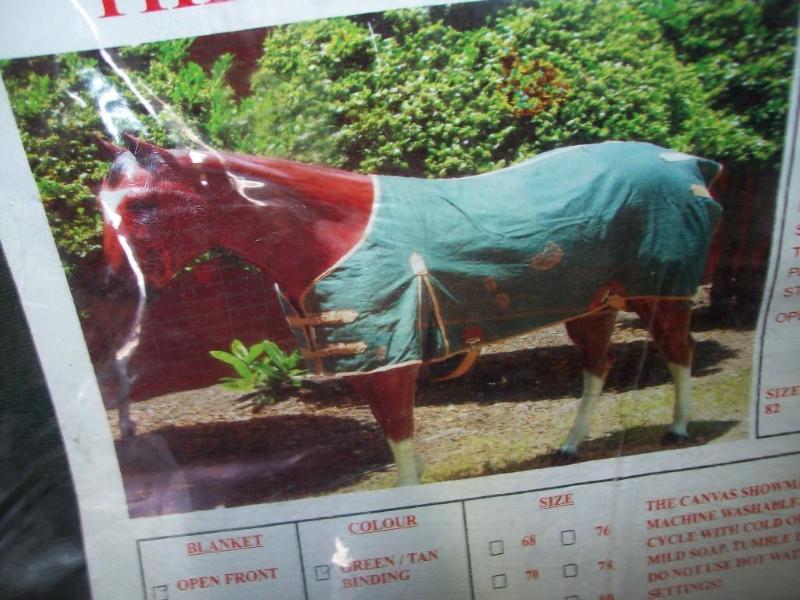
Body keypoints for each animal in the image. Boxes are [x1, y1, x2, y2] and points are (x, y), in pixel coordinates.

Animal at [95, 134, 722, 486]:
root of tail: (688, 163)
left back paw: (679, 430)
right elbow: (397, 444)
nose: (113, 283)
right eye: (102, 205)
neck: (333, 233)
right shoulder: (368, 365)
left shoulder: (391, 362)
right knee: (598, 368)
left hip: (660, 293)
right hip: (593, 305)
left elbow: (399, 445)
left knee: (680, 353)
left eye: (144, 204)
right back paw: (570, 446)